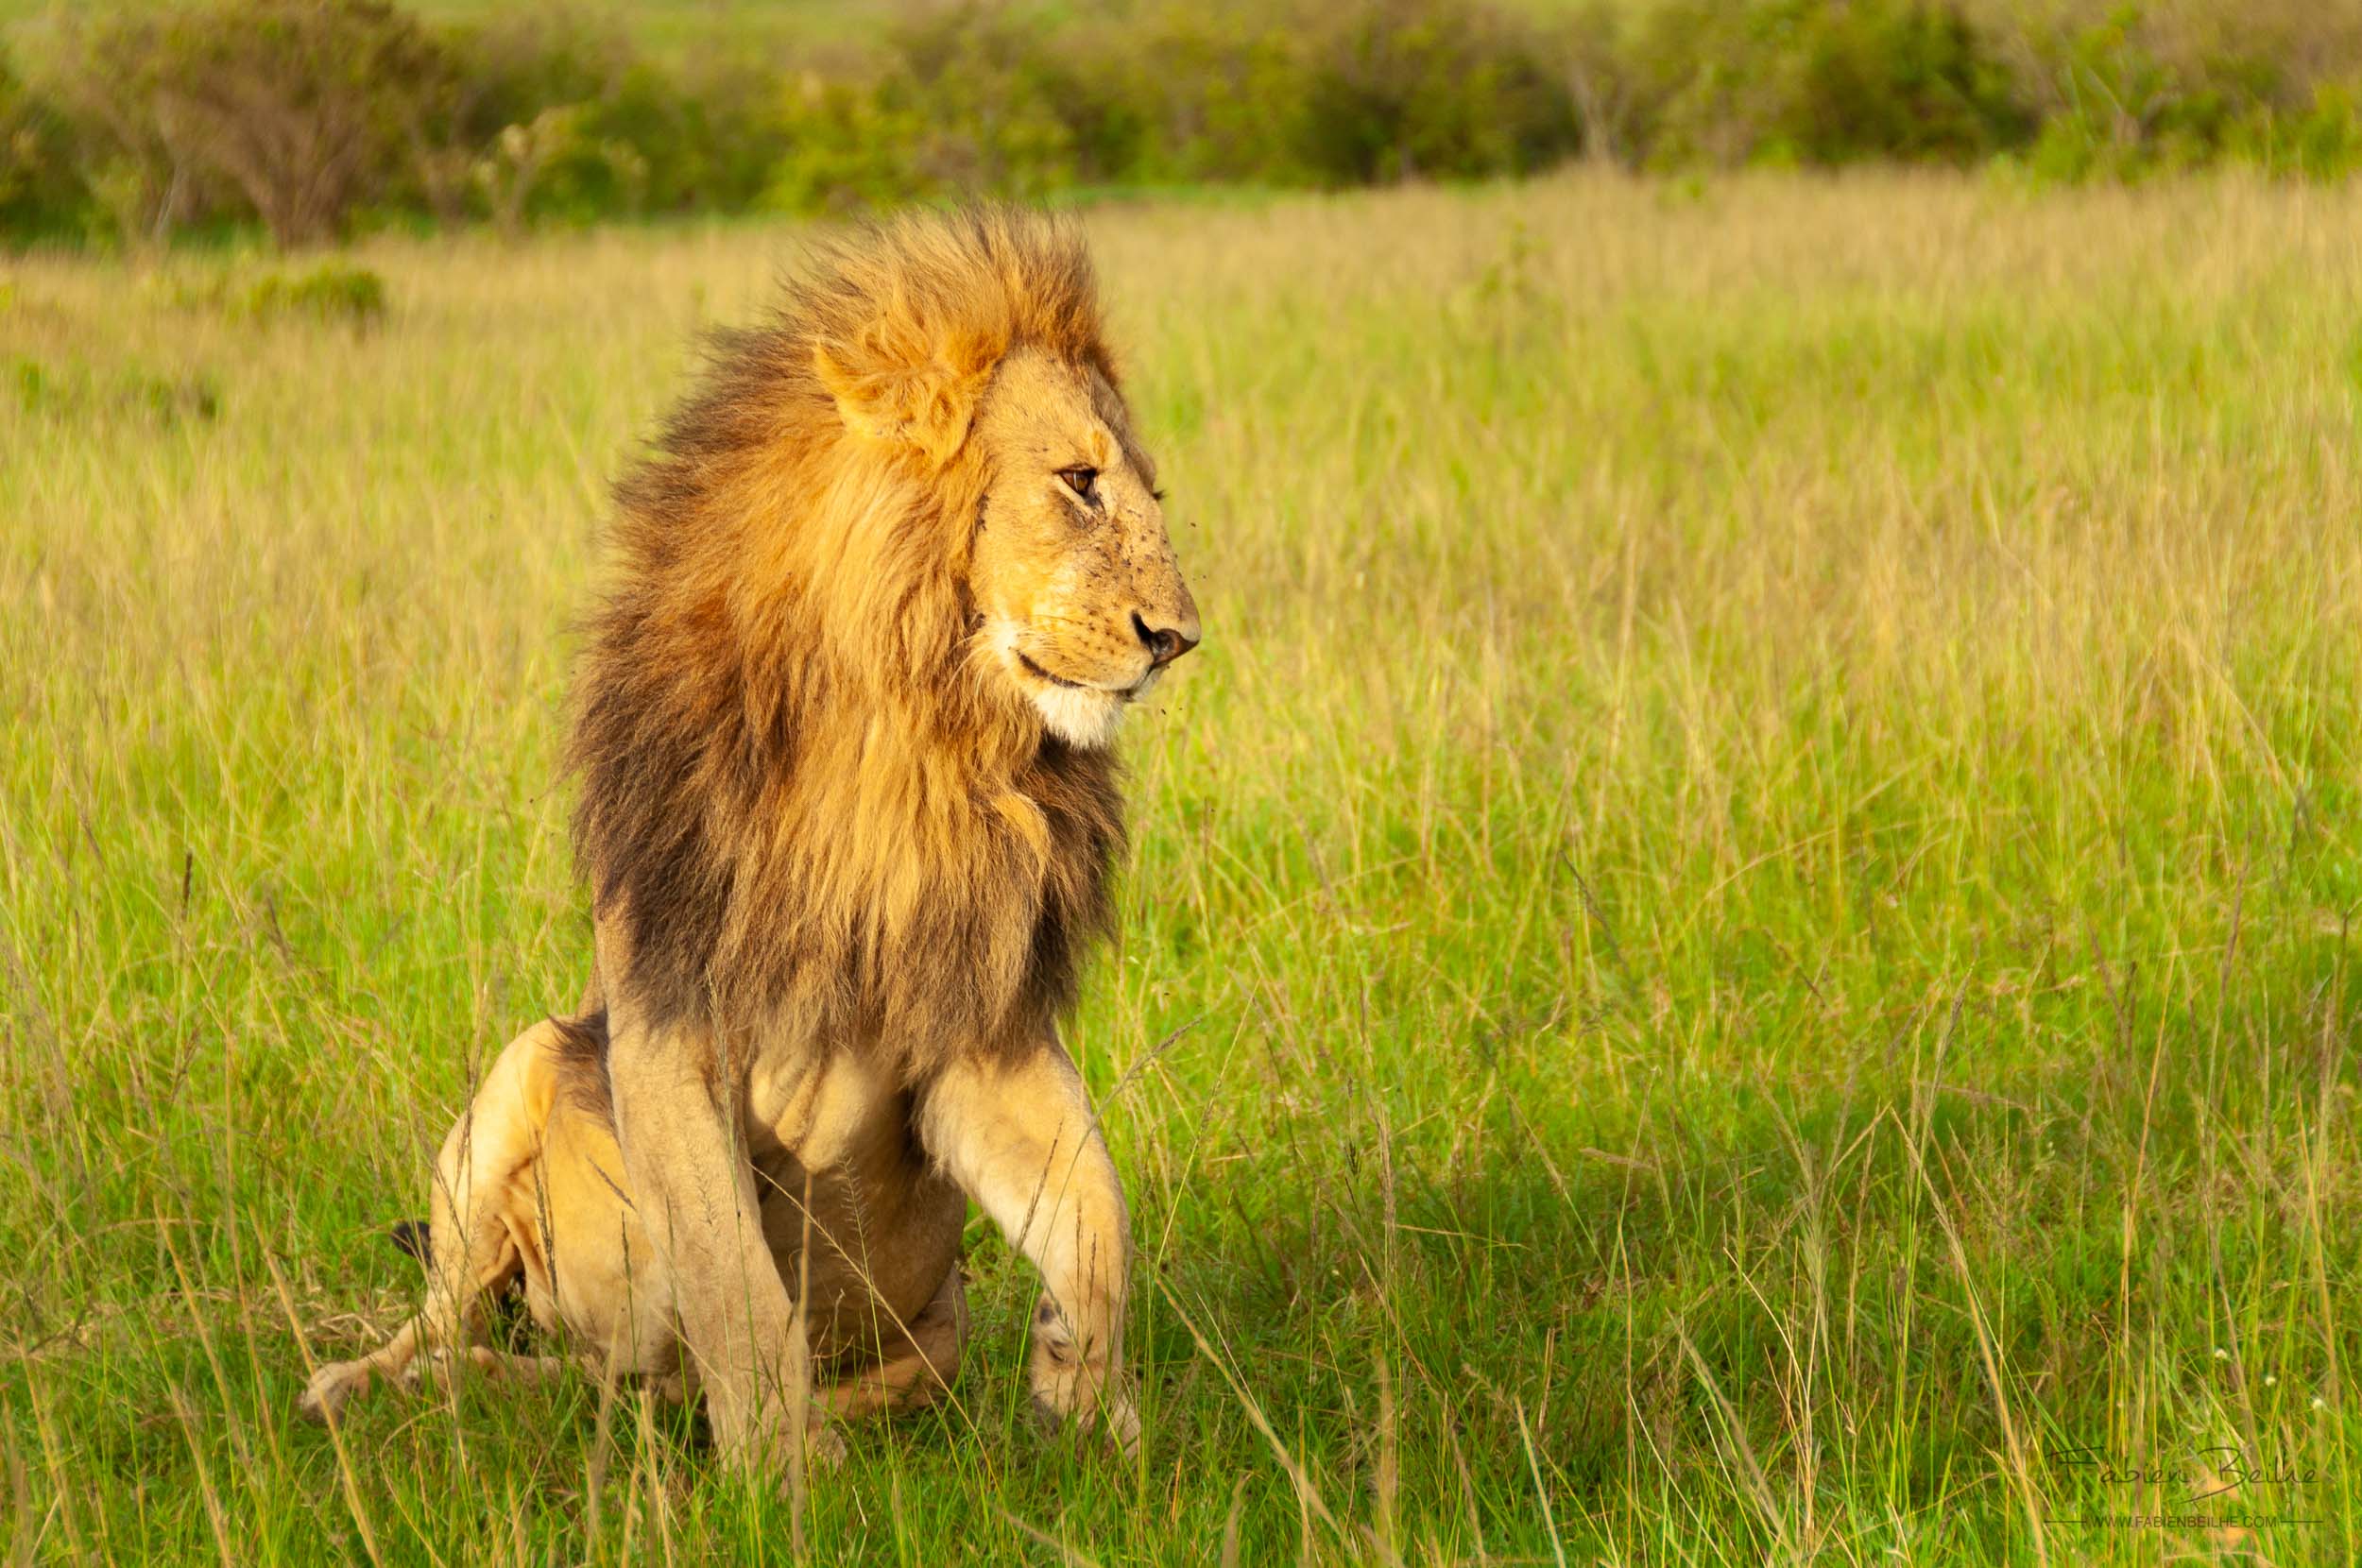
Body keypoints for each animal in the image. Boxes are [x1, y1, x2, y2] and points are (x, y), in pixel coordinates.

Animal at [300, 209, 1197, 1468]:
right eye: (1079, 483)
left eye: (1146, 491)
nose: (1178, 638)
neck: (911, 734)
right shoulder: (667, 1025)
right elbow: (737, 1285)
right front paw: (785, 1478)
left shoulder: (973, 1033)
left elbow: (1095, 1207)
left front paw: (1085, 1399)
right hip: (521, 1069)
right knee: (442, 1309)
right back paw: (353, 1388)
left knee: (567, 1377)